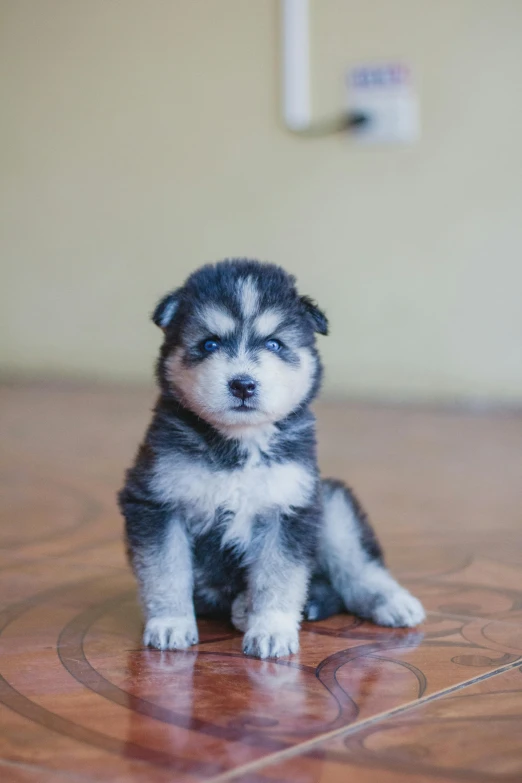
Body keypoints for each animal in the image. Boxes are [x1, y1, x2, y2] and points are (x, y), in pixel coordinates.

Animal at [120, 260, 424, 660]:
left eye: (274, 343)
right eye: (210, 343)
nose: (243, 384)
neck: (238, 445)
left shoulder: (288, 507)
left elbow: (279, 578)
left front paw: (272, 630)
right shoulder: (157, 503)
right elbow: (166, 571)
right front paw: (170, 623)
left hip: (331, 501)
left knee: (357, 568)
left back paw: (392, 602)